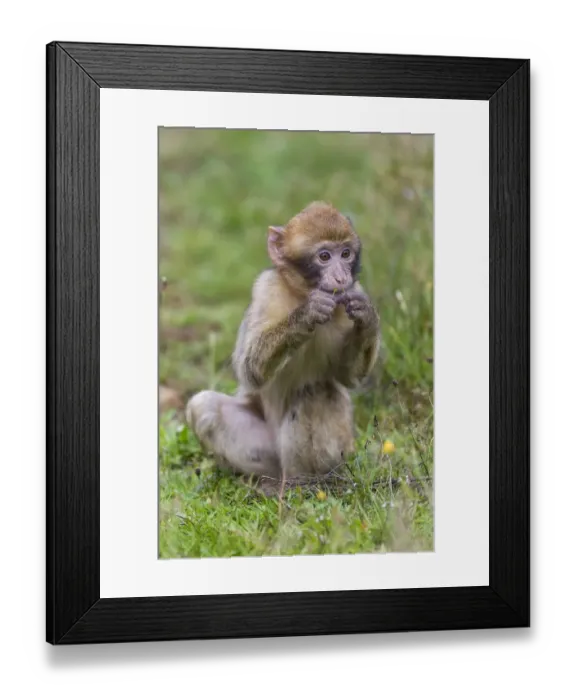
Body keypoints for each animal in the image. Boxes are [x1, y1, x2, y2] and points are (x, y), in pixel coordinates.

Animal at [186, 201, 381, 482]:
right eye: (324, 257)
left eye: (345, 254)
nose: (341, 277)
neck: (301, 292)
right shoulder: (266, 288)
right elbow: (250, 370)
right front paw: (306, 315)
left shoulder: (355, 291)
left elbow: (348, 377)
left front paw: (367, 318)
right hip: (266, 449)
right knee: (204, 405)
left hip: (342, 448)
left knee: (319, 391)